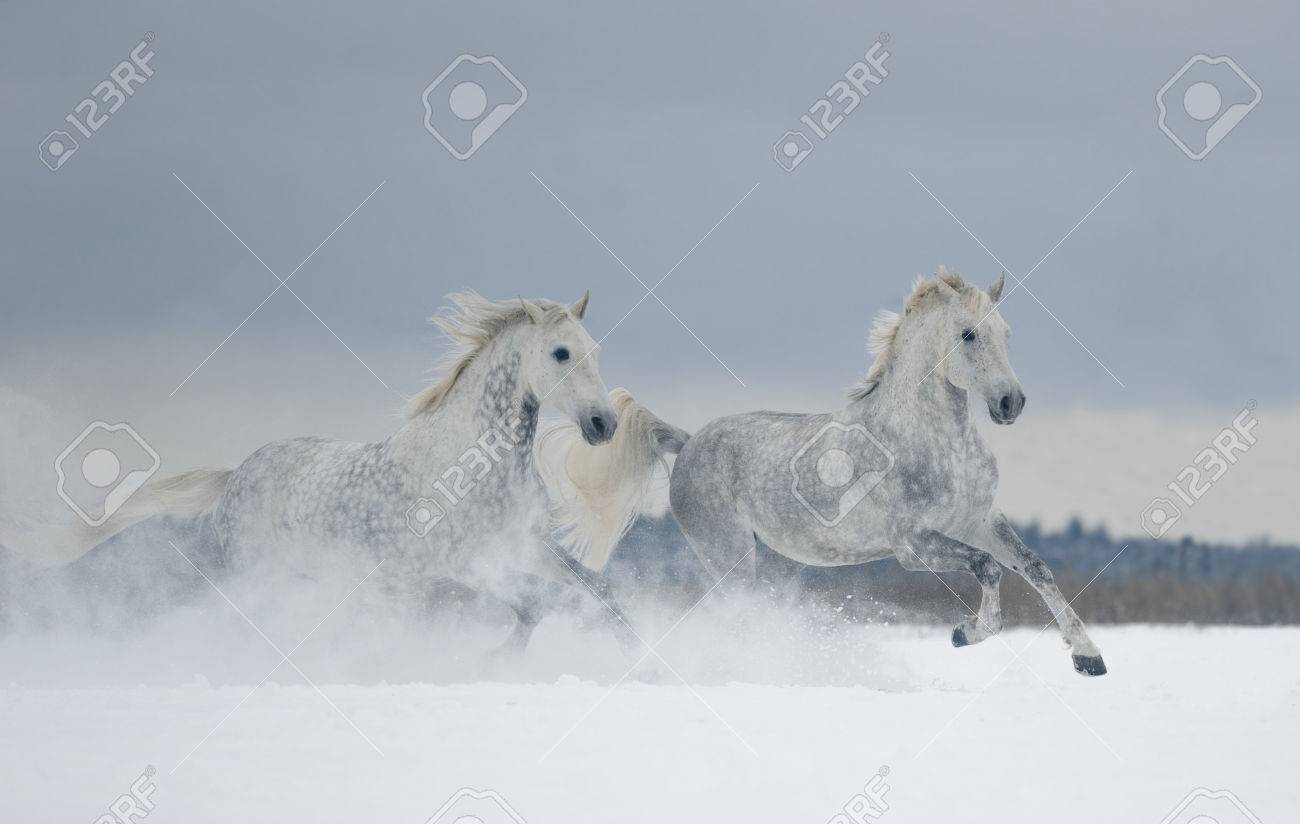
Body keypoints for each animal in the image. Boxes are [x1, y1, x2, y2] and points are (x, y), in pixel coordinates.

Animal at [63, 291, 629, 655]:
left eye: (596, 352)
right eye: (561, 352)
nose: (604, 424)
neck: (471, 465)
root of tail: (236, 474)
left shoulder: (524, 548)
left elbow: (599, 592)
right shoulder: (462, 564)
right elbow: (529, 606)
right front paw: (495, 663)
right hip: (259, 575)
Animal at [544, 268, 1107, 676]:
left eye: (1006, 333)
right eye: (968, 334)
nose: (1011, 403)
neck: (930, 440)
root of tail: (688, 444)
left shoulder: (978, 521)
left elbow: (1035, 567)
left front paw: (1089, 657)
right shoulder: (913, 545)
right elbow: (988, 569)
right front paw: (965, 633)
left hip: (777, 563)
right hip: (730, 558)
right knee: (730, 617)